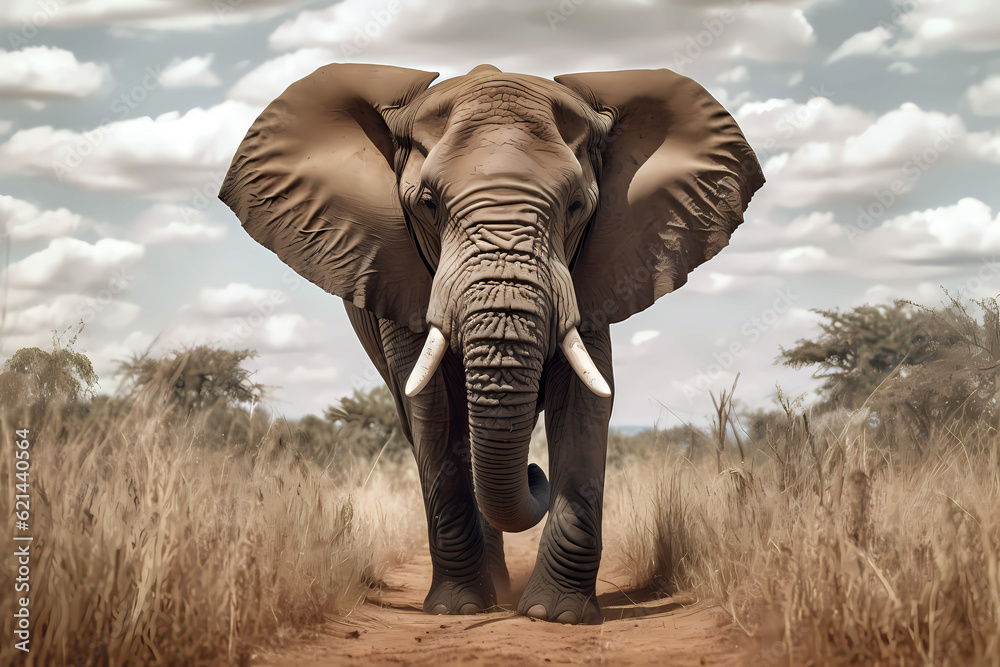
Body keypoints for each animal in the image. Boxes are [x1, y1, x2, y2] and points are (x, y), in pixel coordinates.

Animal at [219, 63, 764, 624]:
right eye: (427, 204)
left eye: (576, 206)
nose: (533, 470)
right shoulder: (397, 270)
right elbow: (436, 411)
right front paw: (457, 610)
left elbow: (584, 402)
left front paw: (556, 614)